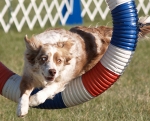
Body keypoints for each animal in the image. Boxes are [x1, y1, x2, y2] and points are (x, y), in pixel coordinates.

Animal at [16, 15, 150, 116]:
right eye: (43, 58)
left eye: (59, 60)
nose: (52, 71)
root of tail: (99, 33)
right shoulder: (28, 74)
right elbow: (24, 93)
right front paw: (22, 109)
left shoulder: (62, 79)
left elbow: (48, 90)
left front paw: (33, 101)